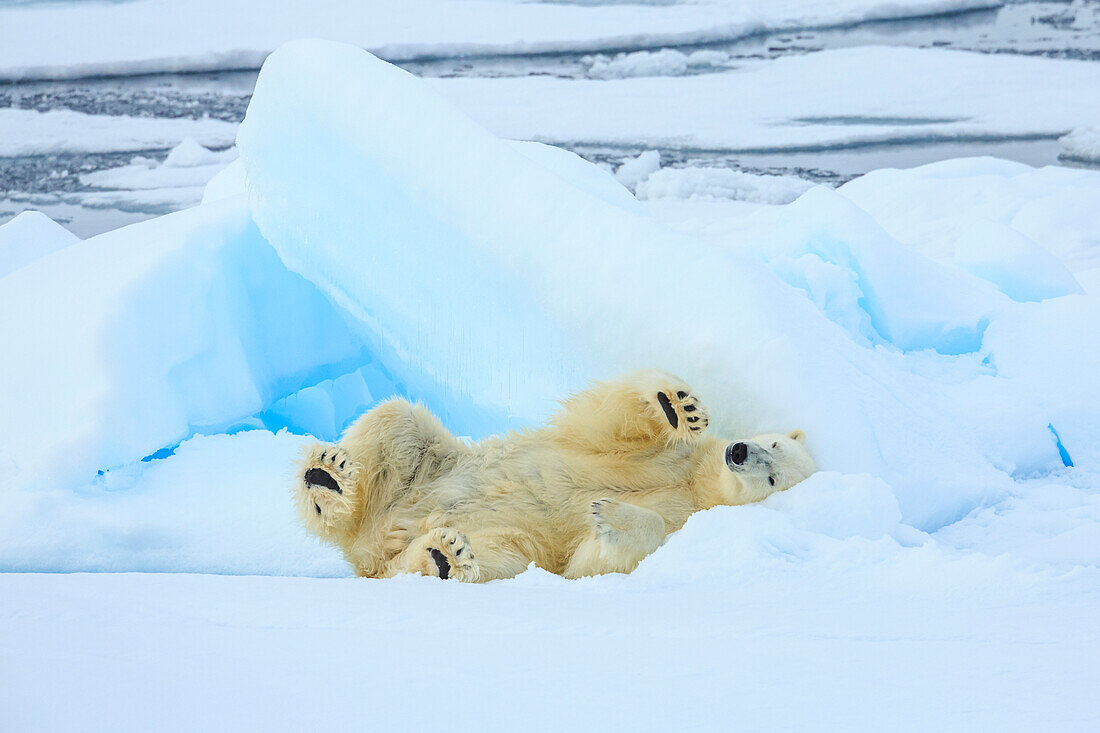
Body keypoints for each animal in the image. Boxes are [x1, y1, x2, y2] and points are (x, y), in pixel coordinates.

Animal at [290, 372, 809, 581]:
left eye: (773, 480)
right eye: (774, 444)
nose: (739, 452)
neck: (695, 484)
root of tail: (373, 544)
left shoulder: (686, 518)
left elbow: (594, 559)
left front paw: (608, 515)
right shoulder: (665, 459)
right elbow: (605, 423)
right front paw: (679, 405)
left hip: (505, 539)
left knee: (500, 557)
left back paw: (443, 557)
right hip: (430, 470)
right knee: (397, 422)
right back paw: (328, 478)